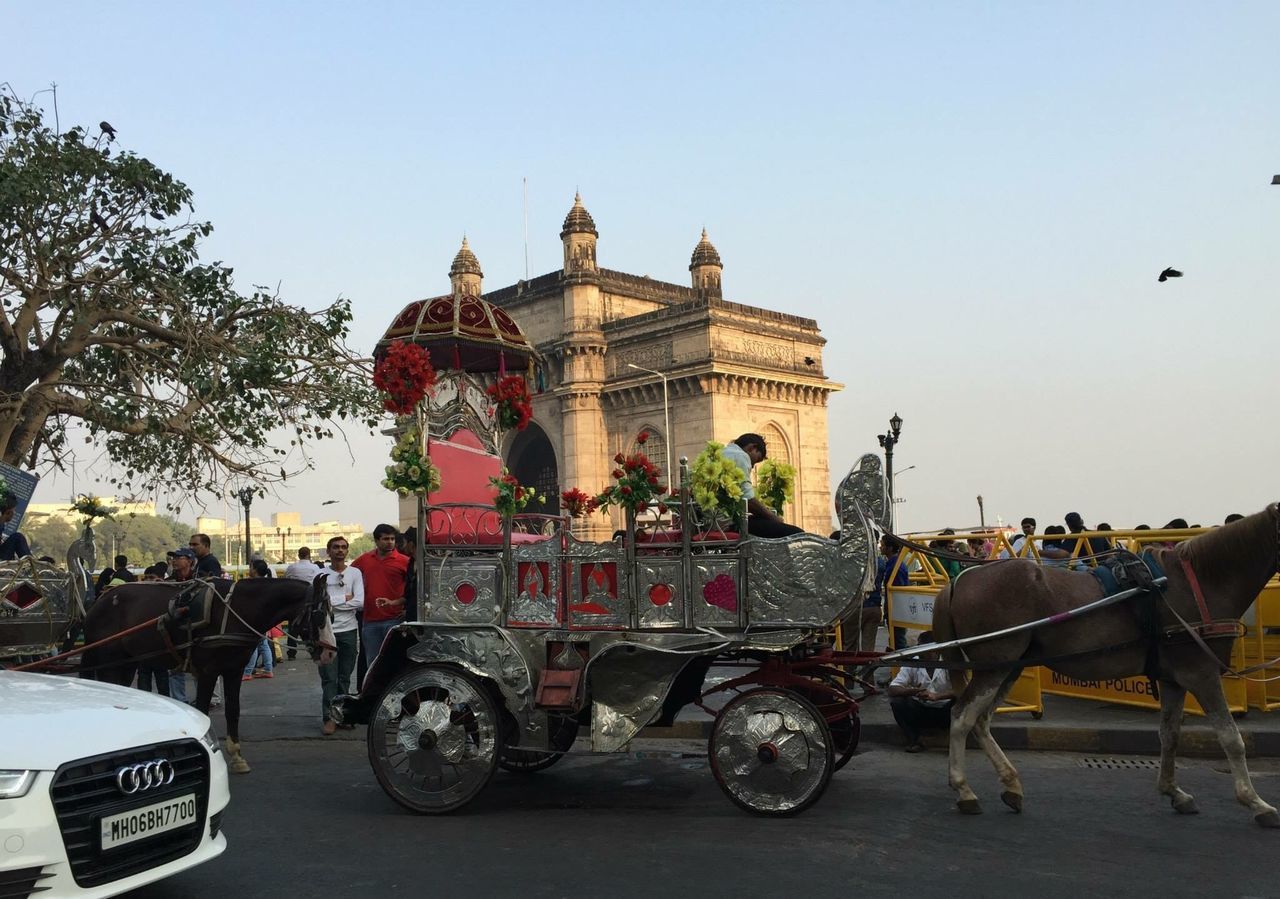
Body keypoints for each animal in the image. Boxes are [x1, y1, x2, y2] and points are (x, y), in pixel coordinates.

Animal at [78, 578, 330, 773]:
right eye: (319, 615)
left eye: (332, 615)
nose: (329, 652)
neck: (237, 610)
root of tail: (98, 603)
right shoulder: (208, 671)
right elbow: (201, 710)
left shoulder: (234, 669)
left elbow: (233, 710)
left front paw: (237, 757)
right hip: (109, 660)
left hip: (127, 662)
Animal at [931, 504, 1280, 829]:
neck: (1197, 585)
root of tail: (960, 581)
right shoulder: (1201, 673)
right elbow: (1231, 739)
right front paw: (1257, 803)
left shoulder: (1174, 678)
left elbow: (1170, 735)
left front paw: (1174, 791)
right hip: (993, 666)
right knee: (961, 716)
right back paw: (964, 790)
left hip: (1009, 666)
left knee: (981, 720)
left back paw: (1011, 785)